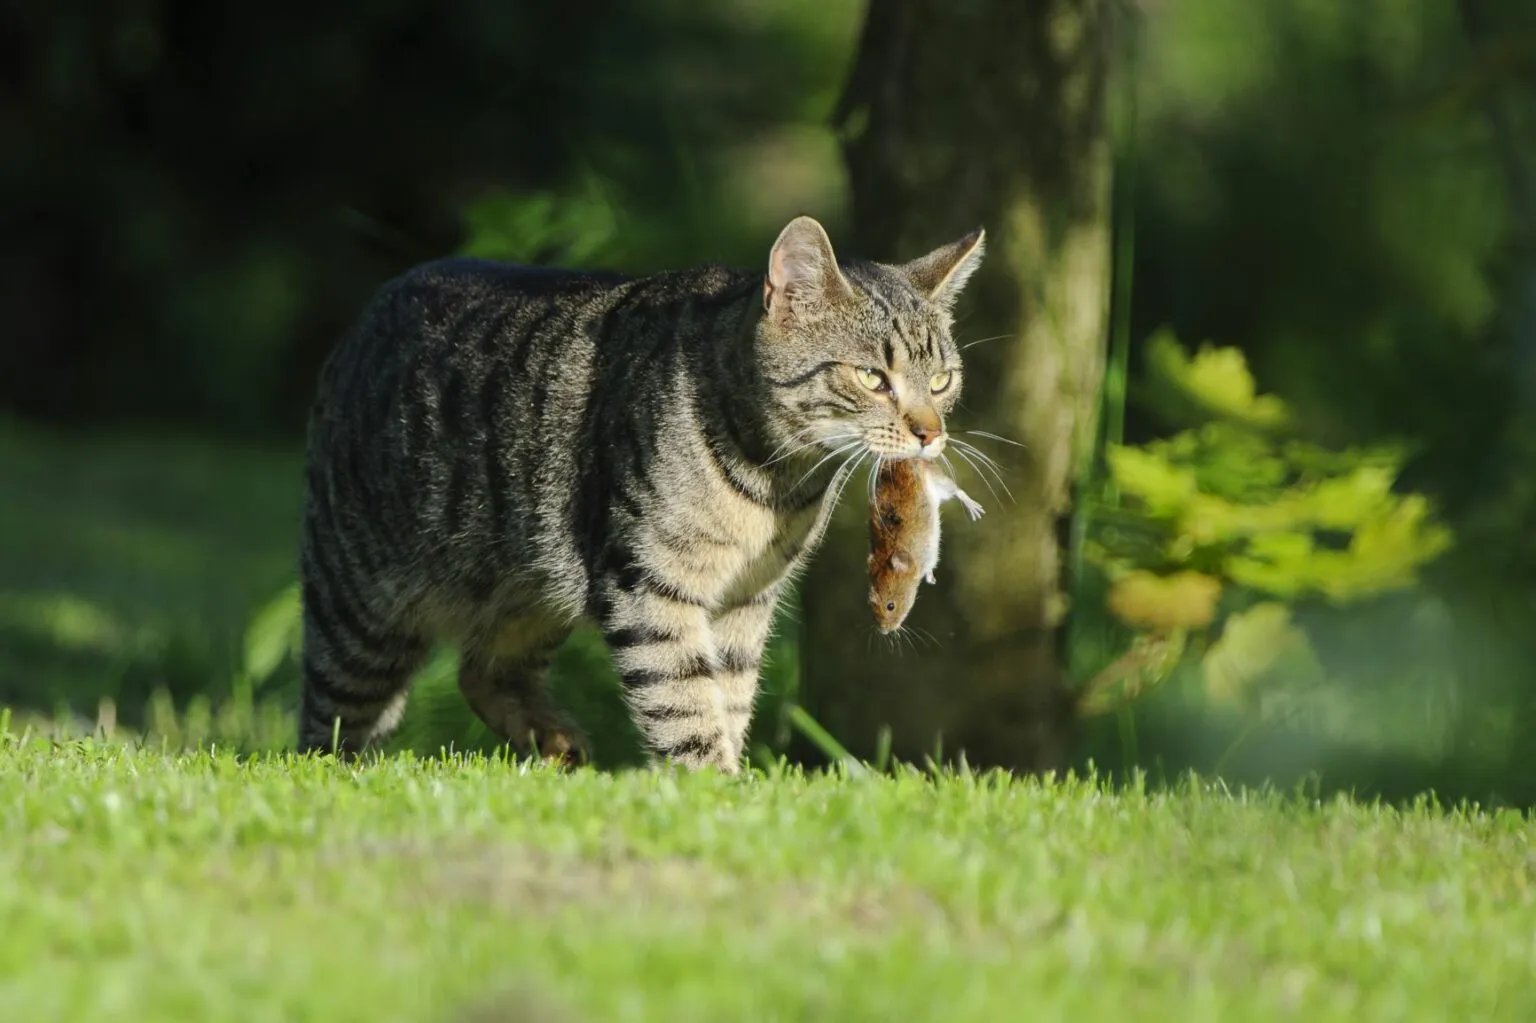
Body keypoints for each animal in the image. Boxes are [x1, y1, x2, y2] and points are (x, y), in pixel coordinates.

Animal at [296, 216, 983, 774]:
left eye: (943, 380)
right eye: (871, 377)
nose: (930, 433)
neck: (775, 484)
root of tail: (370, 310)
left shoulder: (746, 598)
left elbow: (728, 697)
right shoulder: (648, 581)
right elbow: (683, 700)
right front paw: (713, 789)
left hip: (528, 590)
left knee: (480, 669)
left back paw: (556, 742)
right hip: (359, 614)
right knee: (325, 727)